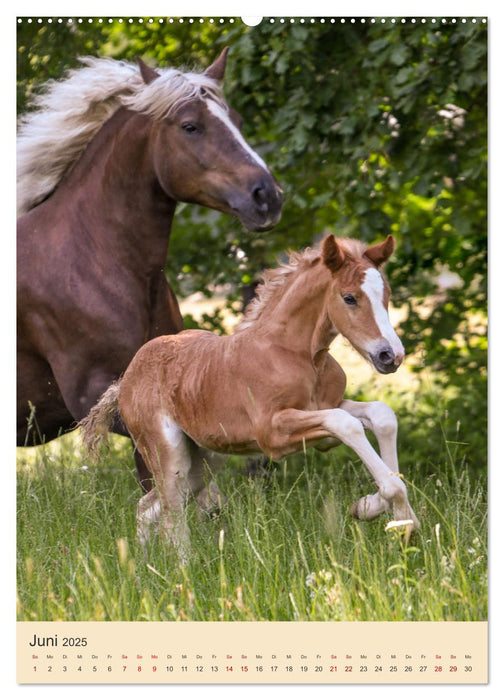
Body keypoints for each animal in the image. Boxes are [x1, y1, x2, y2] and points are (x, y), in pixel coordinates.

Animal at [82, 235, 420, 552]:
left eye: (386, 295)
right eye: (349, 297)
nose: (391, 355)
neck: (295, 354)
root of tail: (126, 380)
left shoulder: (326, 410)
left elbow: (382, 415)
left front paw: (375, 509)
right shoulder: (272, 433)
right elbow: (345, 424)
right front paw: (399, 515)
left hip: (205, 460)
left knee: (147, 508)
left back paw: (142, 564)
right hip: (168, 454)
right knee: (171, 521)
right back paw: (184, 568)